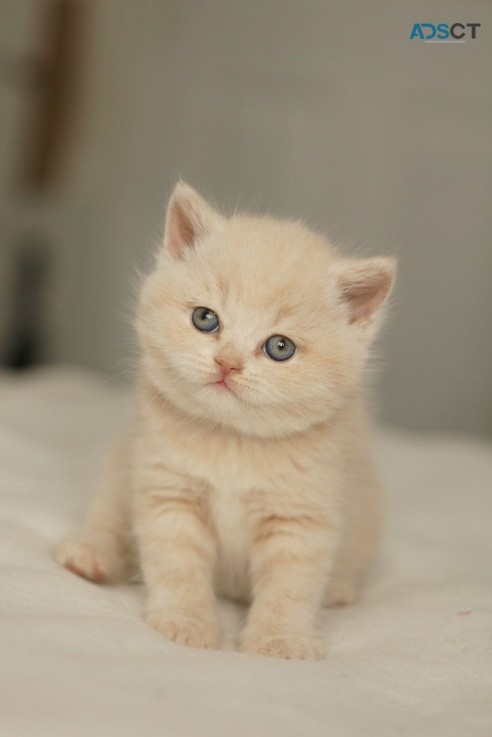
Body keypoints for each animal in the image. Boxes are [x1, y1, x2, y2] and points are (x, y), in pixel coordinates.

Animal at [55, 181, 396, 660]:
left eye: (279, 347)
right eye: (205, 319)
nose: (227, 363)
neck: (233, 443)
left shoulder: (302, 515)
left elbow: (291, 585)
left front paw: (279, 640)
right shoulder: (166, 490)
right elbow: (176, 564)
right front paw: (185, 623)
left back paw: (340, 589)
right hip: (120, 466)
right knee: (106, 513)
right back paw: (91, 555)